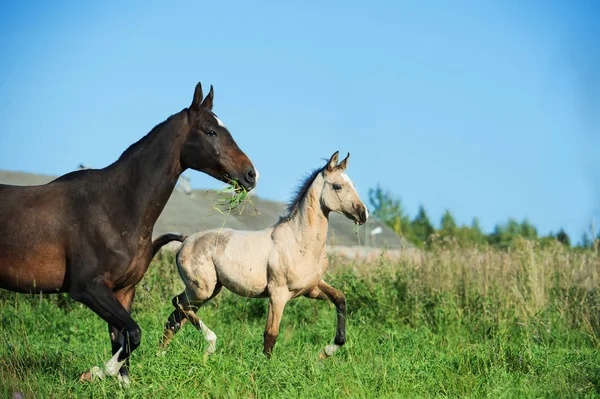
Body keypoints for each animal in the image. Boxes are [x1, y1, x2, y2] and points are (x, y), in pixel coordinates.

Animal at [0, 83, 255, 386]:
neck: (114, 207)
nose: (251, 174)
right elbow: (133, 334)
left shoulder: (122, 291)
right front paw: (96, 372)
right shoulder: (88, 288)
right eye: (211, 131)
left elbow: (122, 343)